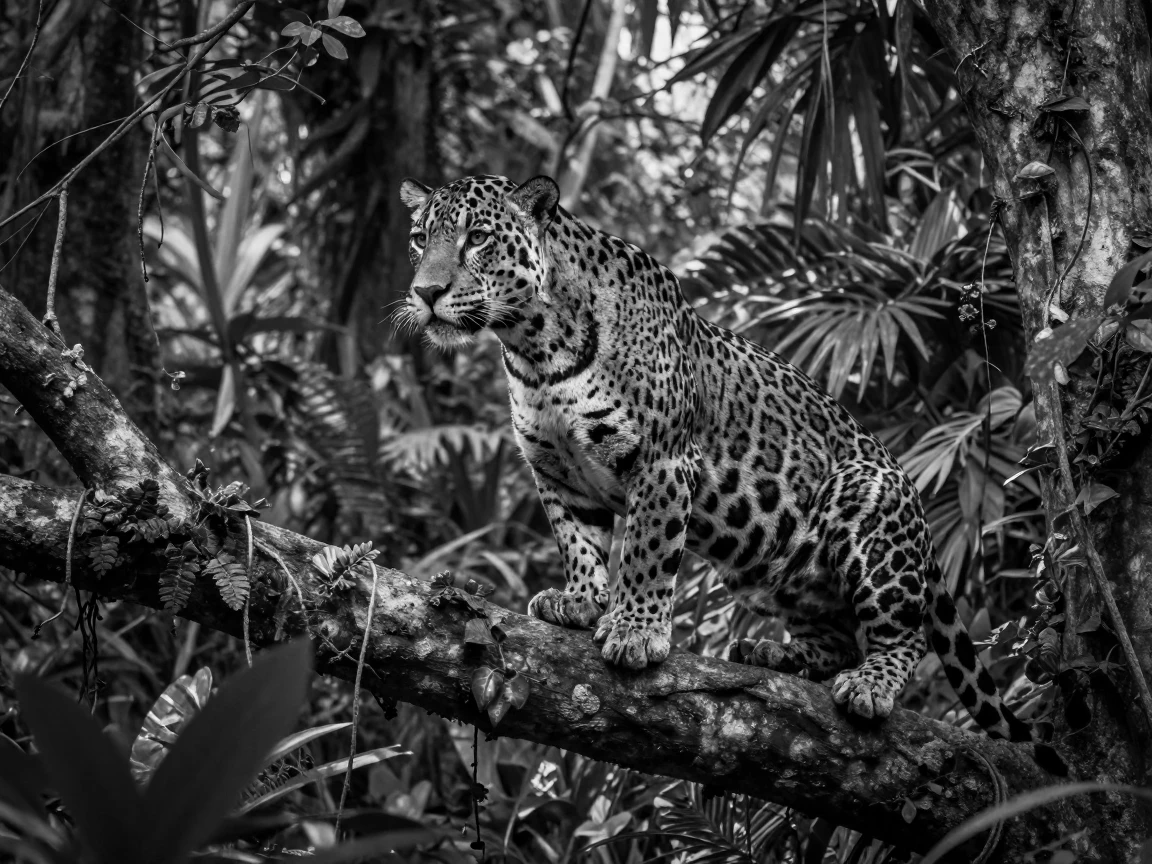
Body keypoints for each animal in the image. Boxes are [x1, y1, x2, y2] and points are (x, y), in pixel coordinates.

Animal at [397, 172, 1038, 745]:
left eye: (478, 238)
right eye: (419, 239)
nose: (425, 293)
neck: (534, 347)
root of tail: (919, 509)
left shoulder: (662, 461)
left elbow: (646, 552)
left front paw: (634, 631)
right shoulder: (557, 472)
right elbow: (578, 541)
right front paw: (578, 600)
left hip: (866, 503)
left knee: (900, 635)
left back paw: (869, 683)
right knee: (835, 635)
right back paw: (773, 652)